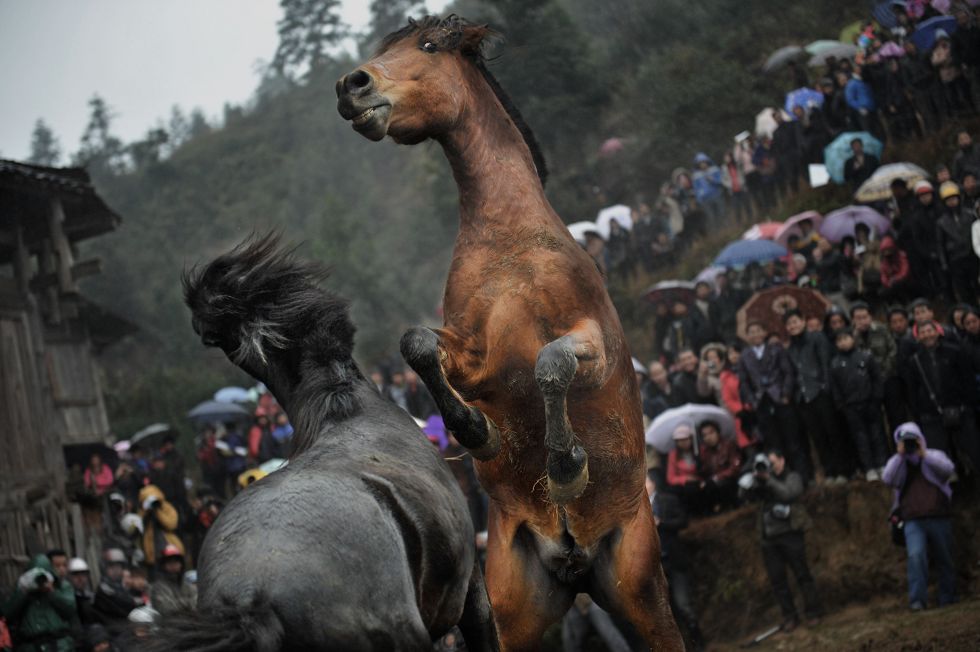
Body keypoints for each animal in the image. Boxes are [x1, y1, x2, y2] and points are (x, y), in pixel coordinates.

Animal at [336, 16, 680, 652]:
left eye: (426, 46)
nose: (353, 85)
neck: (509, 240)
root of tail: (577, 566)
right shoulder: (475, 356)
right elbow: (418, 345)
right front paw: (478, 432)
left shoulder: (593, 338)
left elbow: (552, 362)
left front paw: (566, 465)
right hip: (513, 604)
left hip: (641, 588)